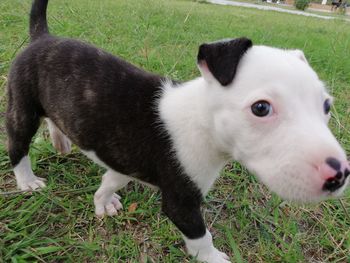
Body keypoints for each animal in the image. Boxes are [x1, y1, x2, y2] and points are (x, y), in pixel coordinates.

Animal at [6, 0, 350, 263]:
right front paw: (213, 258)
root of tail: (42, 37)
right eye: (261, 108)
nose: (339, 174)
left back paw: (61, 140)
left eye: (326, 106)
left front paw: (103, 201)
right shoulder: (181, 200)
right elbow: (200, 236)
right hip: (22, 105)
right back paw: (27, 181)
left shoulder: (124, 161)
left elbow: (111, 179)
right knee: (18, 145)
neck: (201, 120)